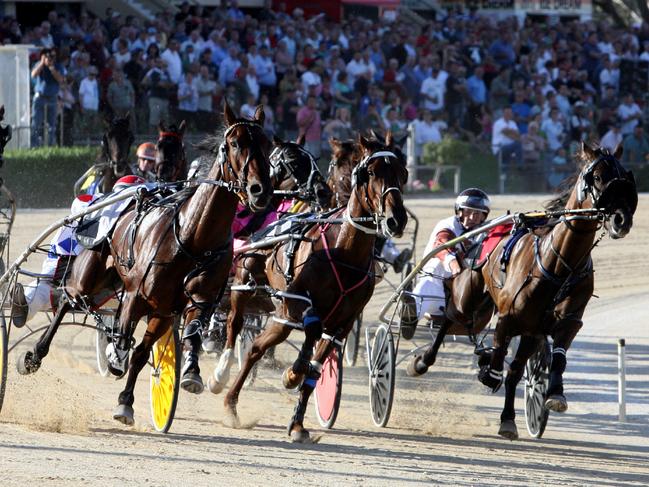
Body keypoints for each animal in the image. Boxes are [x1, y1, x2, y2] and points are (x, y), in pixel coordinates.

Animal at [16, 104, 272, 428]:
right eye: (235, 143)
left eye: (267, 143)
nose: (259, 190)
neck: (193, 237)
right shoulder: (137, 294)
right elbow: (125, 336)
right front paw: (115, 355)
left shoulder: (178, 306)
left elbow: (164, 345)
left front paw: (136, 397)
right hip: (90, 274)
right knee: (66, 300)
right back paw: (34, 356)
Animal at [221, 132, 404, 442]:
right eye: (370, 172)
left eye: (402, 172)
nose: (396, 219)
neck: (345, 253)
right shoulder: (295, 301)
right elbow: (312, 330)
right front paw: (292, 373)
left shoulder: (342, 324)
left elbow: (315, 369)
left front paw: (297, 424)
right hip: (246, 285)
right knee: (237, 326)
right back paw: (223, 385)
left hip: (278, 314)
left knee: (258, 346)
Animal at [408, 142, 636, 442]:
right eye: (597, 177)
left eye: (623, 175)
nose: (622, 220)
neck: (558, 264)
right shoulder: (508, 317)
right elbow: (498, 359)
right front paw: (489, 372)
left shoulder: (564, 323)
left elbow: (547, 362)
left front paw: (548, 397)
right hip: (466, 298)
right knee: (448, 319)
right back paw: (422, 362)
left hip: (526, 330)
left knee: (508, 362)